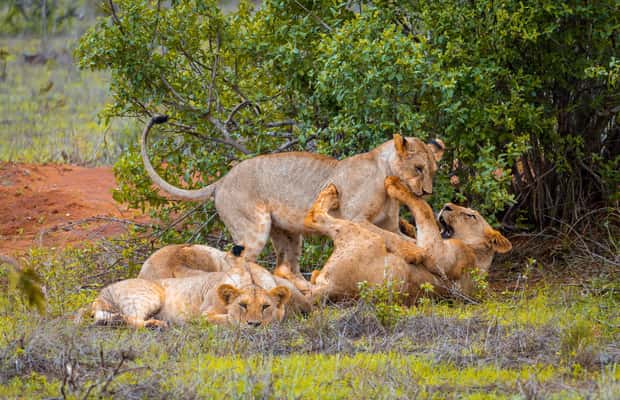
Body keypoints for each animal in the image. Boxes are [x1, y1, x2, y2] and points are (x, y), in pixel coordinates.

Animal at [140, 116, 444, 288]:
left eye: (432, 170)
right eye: (418, 168)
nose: (428, 192)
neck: (386, 172)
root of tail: (222, 180)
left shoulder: (389, 222)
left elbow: (396, 236)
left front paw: (424, 256)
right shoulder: (355, 216)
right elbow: (387, 237)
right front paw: (417, 254)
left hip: (288, 234)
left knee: (286, 264)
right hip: (254, 229)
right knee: (233, 259)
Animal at [304, 178, 511, 303]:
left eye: (470, 215)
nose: (447, 206)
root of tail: (331, 288)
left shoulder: (441, 257)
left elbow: (424, 208)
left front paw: (395, 185)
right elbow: (414, 231)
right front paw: (406, 225)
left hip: (362, 235)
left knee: (314, 217)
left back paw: (331, 192)